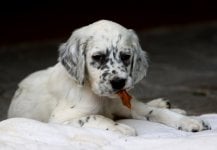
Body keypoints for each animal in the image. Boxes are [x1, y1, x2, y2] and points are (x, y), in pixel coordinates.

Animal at [8, 19, 210, 135]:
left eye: (126, 56)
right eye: (98, 57)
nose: (119, 82)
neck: (101, 98)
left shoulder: (125, 105)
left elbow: (154, 112)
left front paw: (189, 121)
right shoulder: (59, 120)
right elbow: (94, 117)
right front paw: (120, 128)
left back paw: (169, 106)